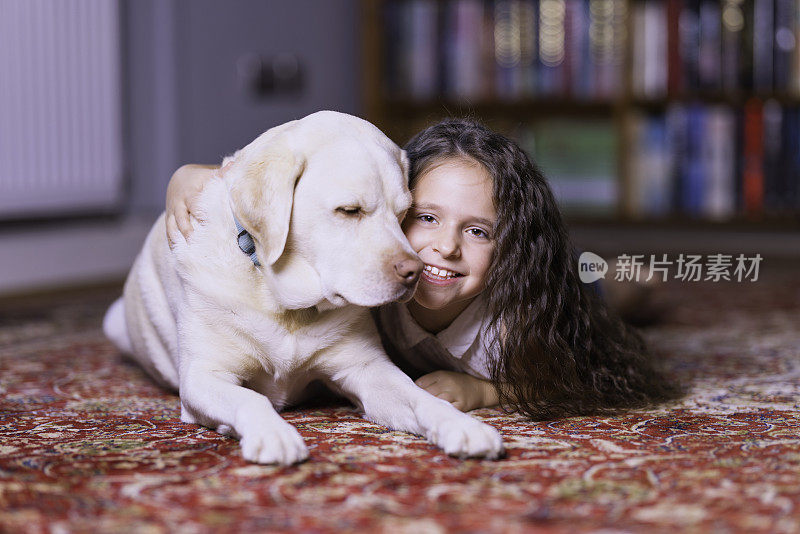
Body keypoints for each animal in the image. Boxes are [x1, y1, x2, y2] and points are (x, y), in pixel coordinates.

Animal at [103, 112, 504, 464]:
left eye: (404, 214)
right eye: (349, 210)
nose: (414, 272)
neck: (285, 304)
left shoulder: (368, 369)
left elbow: (420, 397)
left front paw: (463, 425)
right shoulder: (202, 377)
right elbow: (251, 399)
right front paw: (274, 434)